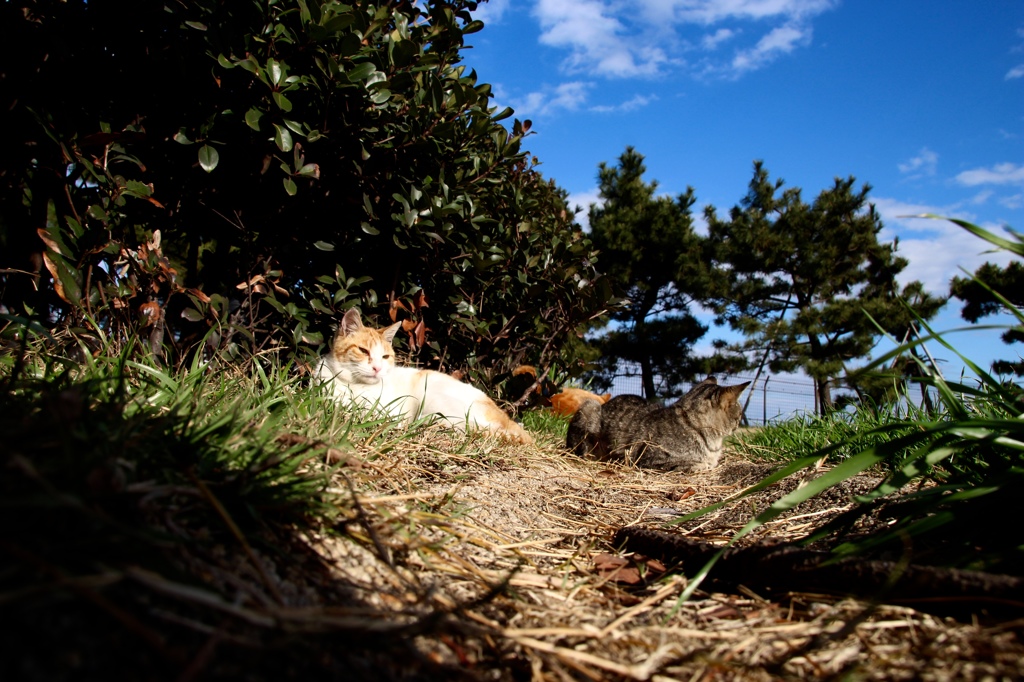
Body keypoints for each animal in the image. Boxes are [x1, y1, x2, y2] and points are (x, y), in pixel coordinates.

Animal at [315, 307, 532, 446]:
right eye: (363, 350)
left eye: (385, 357)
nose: (377, 368)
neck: (352, 385)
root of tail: (505, 416)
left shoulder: (390, 411)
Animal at [565, 374, 749, 471]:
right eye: (740, 414)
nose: (739, 422)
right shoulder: (651, 460)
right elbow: (697, 464)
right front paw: (704, 465)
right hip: (589, 406)